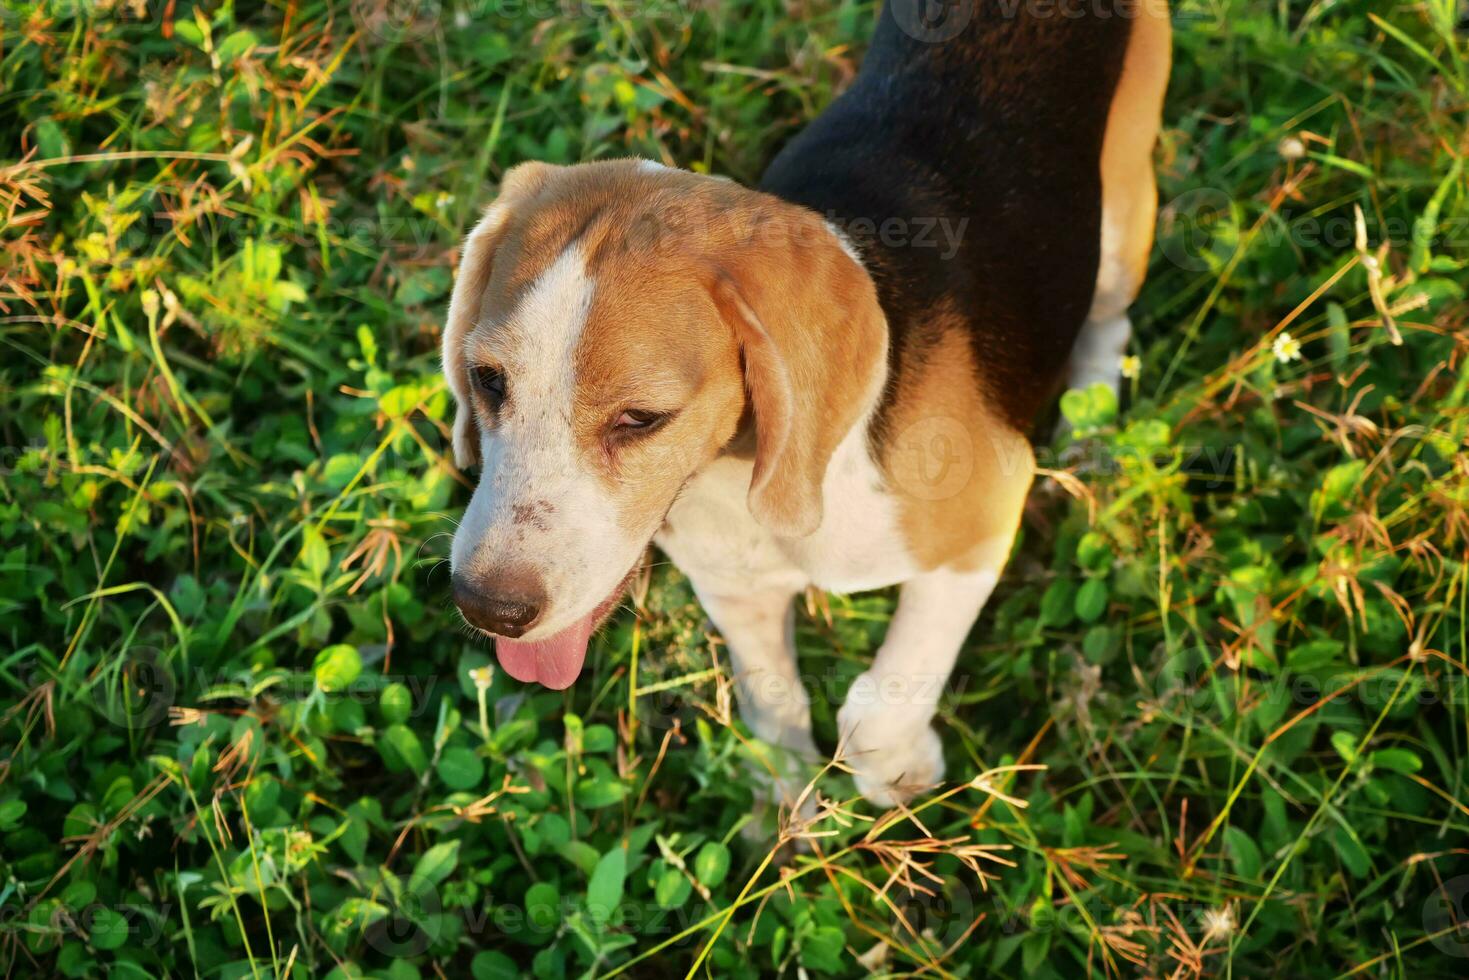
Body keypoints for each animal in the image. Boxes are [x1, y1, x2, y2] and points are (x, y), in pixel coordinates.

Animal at [440, 0, 1163, 811]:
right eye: (488, 381)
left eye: (640, 420)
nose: (486, 606)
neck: (738, 477)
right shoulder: (735, 590)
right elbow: (773, 708)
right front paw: (788, 813)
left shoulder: (982, 520)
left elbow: (878, 710)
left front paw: (900, 766)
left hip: (1122, 215)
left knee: (1110, 320)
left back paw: (1091, 428)